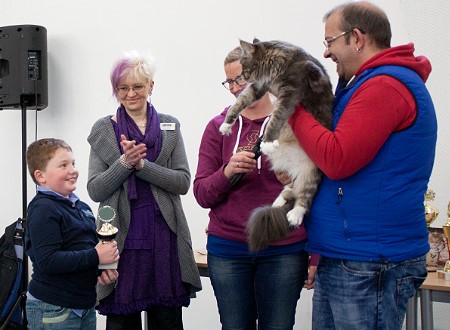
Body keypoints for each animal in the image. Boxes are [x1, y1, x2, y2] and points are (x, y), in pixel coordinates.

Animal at [220, 38, 332, 250]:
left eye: (244, 67)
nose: (244, 76)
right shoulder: (258, 87)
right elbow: (238, 104)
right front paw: (226, 124)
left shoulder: (289, 94)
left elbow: (276, 118)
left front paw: (268, 141)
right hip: (292, 174)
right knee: (291, 189)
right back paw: (277, 203)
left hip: (311, 171)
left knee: (304, 197)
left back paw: (294, 215)